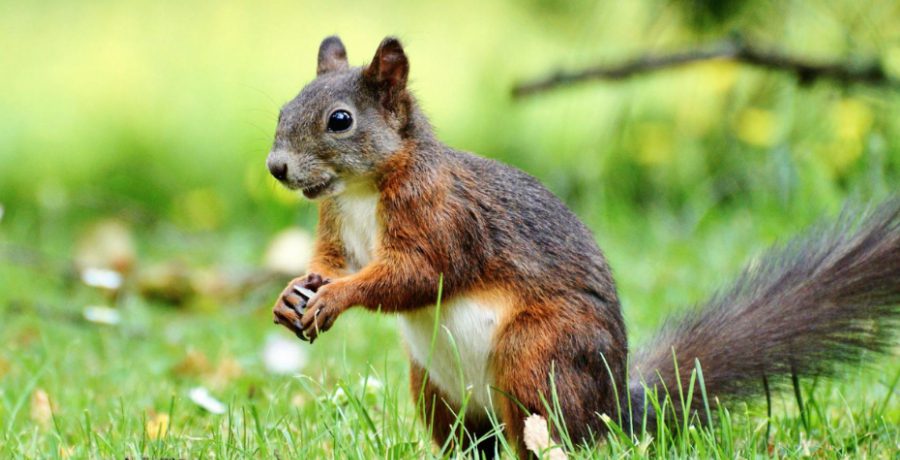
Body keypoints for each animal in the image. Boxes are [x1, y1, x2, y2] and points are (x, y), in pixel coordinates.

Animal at [268, 35, 900, 457]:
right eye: (283, 108)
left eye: (340, 121)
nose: (276, 167)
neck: (360, 191)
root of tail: (613, 408)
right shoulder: (335, 225)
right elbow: (331, 262)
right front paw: (295, 293)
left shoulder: (443, 218)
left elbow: (416, 274)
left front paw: (336, 297)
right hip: (436, 390)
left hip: (536, 359)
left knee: (546, 435)